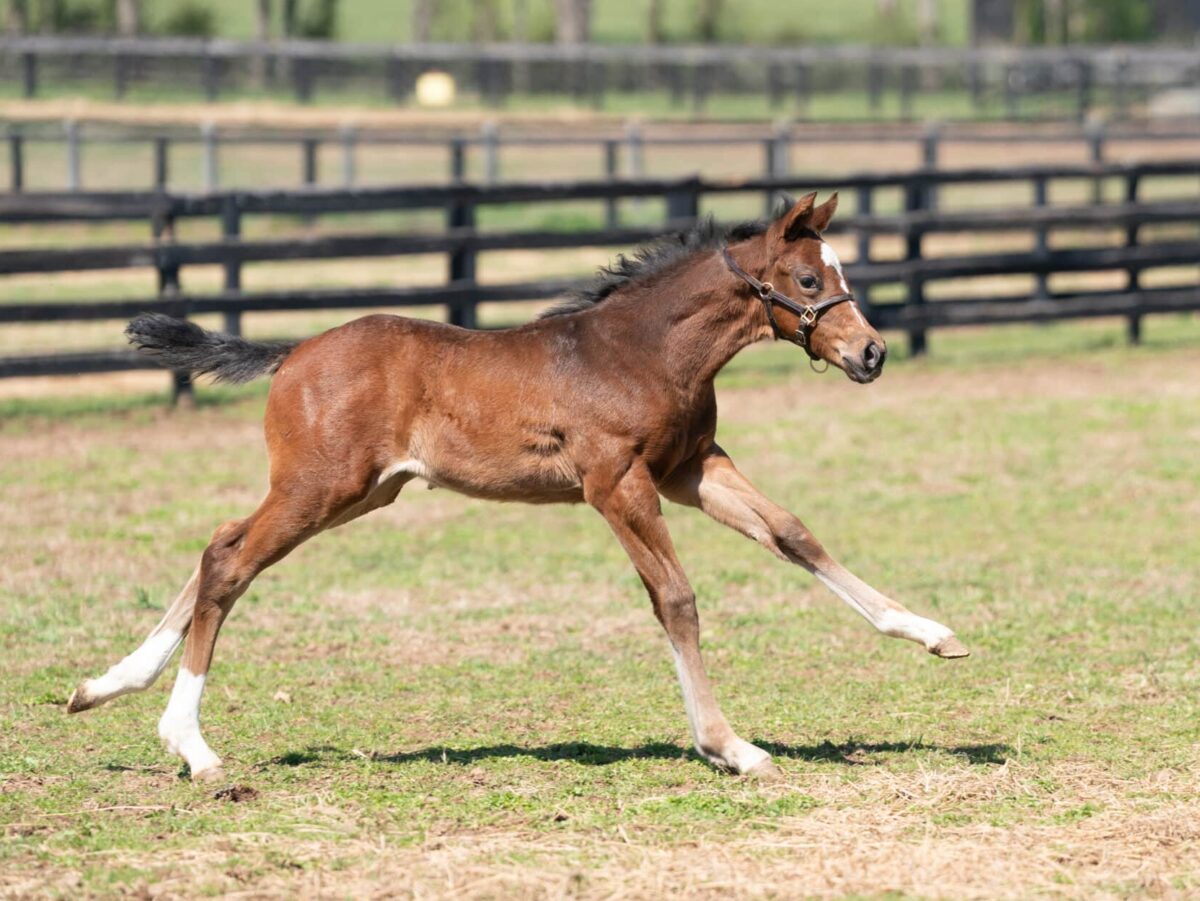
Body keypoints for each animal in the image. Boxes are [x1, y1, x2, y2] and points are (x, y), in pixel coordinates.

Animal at [65, 191, 969, 782]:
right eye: (810, 282)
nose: (872, 353)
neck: (642, 350)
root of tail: (291, 353)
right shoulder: (617, 483)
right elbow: (675, 598)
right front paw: (730, 746)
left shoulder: (691, 467)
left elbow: (793, 532)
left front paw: (929, 632)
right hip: (321, 486)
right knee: (229, 562)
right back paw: (191, 745)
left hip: (356, 492)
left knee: (218, 547)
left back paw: (106, 686)